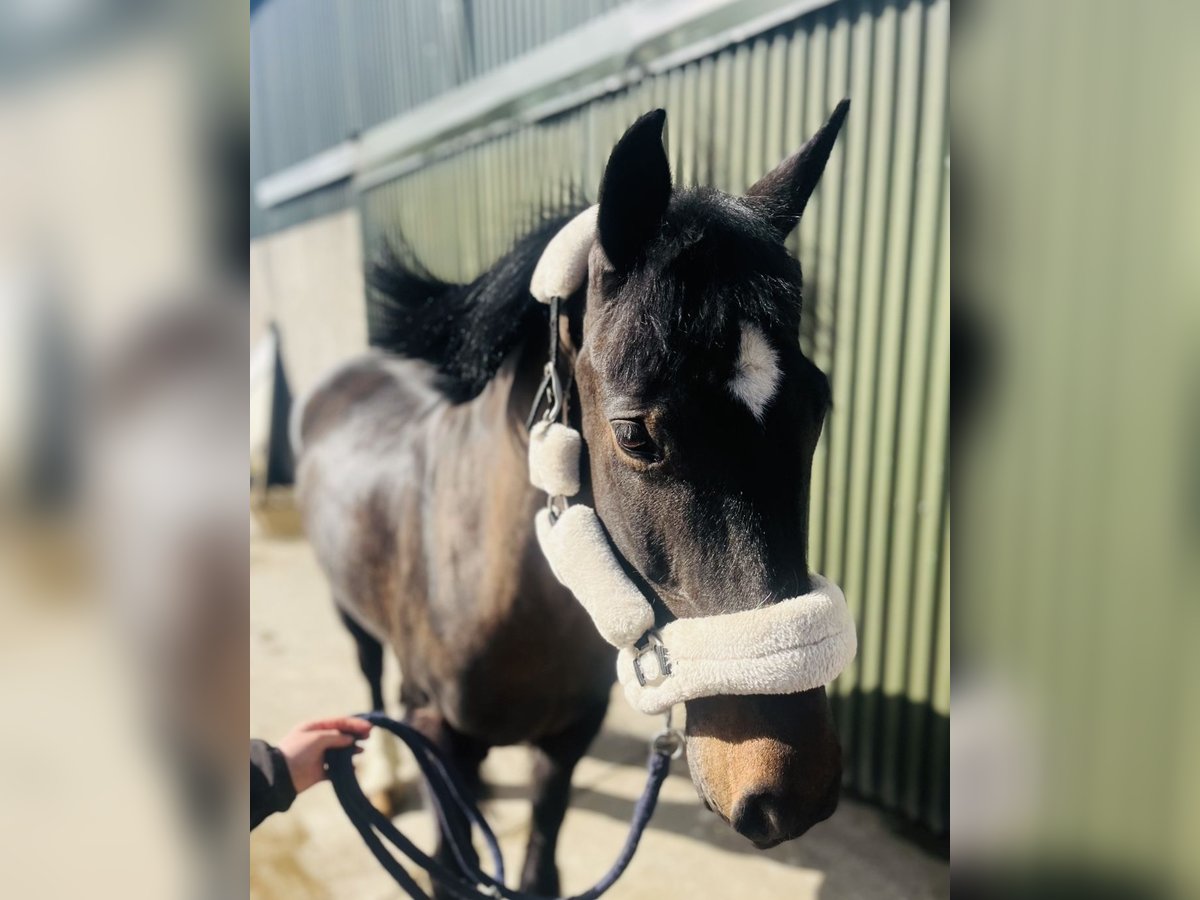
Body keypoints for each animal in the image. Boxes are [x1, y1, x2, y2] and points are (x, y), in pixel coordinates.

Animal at [294, 101, 849, 895]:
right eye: (633, 434)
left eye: (819, 406)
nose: (789, 790)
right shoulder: (443, 736)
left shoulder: (567, 736)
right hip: (354, 615)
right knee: (373, 678)